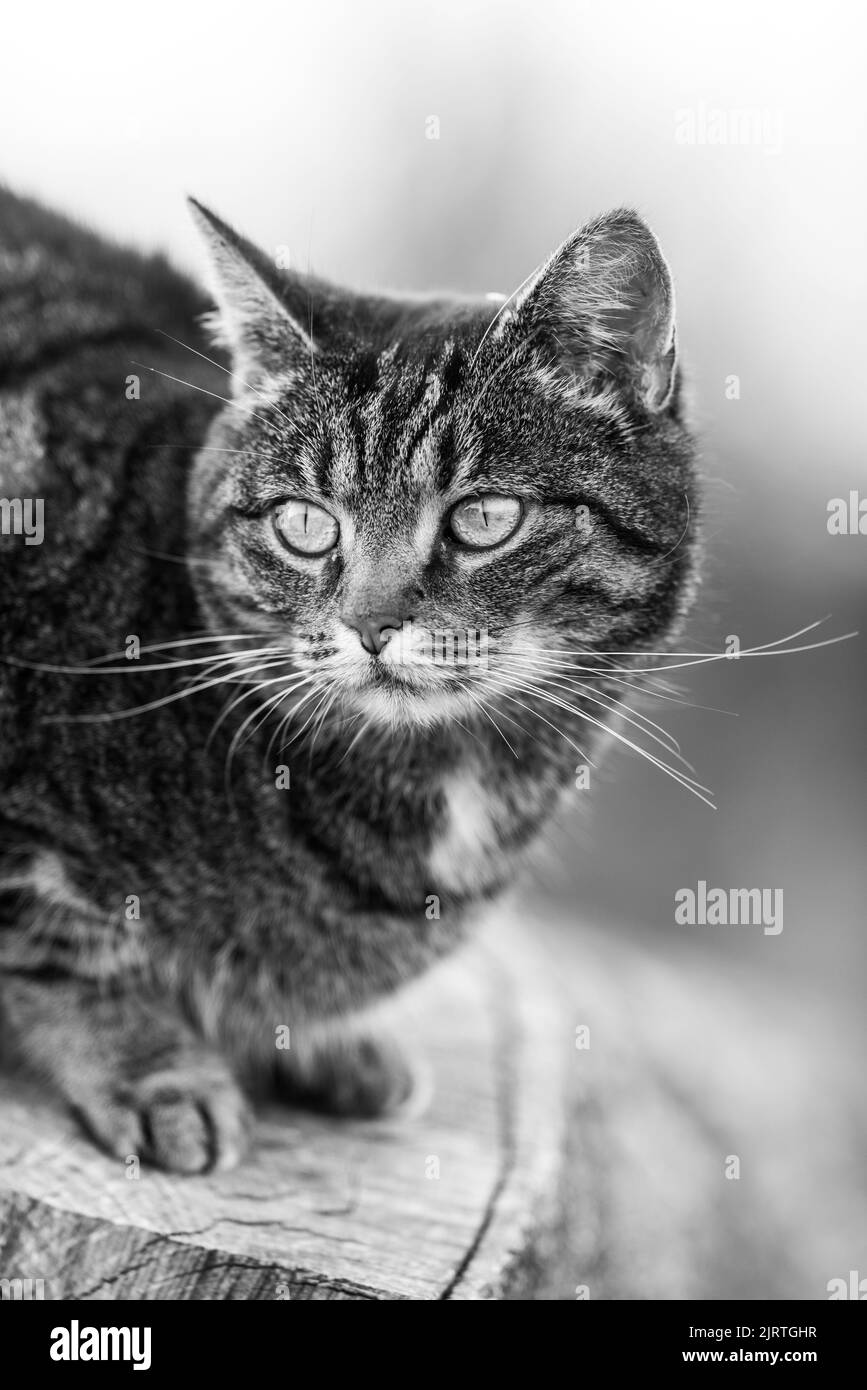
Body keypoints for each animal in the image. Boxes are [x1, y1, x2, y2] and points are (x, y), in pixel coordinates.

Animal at [0, 187, 694, 1173]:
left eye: (485, 518)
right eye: (304, 523)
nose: (370, 626)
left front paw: (319, 1046)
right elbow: (64, 947)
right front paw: (156, 1070)